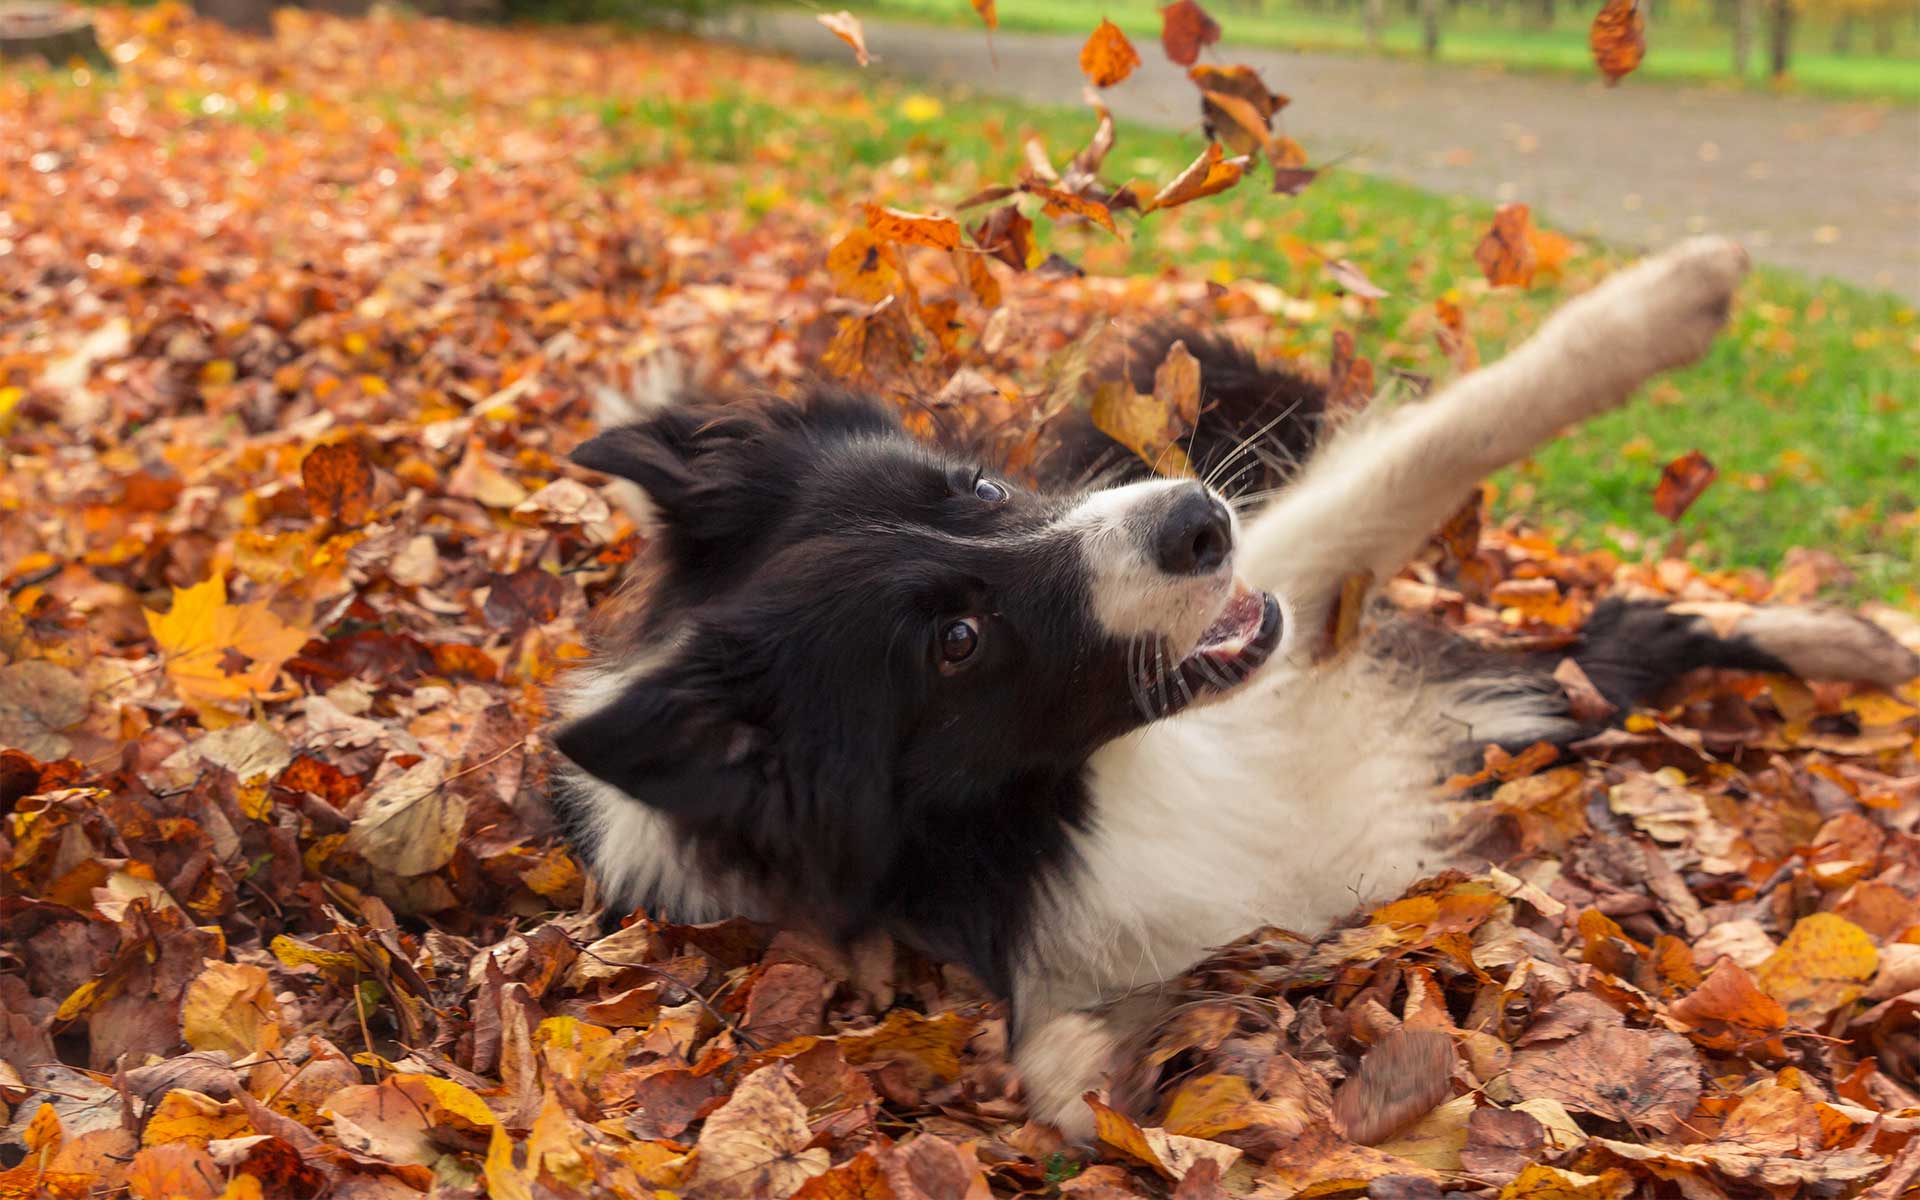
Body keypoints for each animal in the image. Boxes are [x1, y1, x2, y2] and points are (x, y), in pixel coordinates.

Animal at [549, 240, 1912, 1128]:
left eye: (974, 488)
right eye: (957, 642)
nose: (1200, 523)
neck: (1103, 790)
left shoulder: (1301, 585)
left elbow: (1441, 440)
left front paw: (1671, 298)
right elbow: (1070, 1075)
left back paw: (1861, 641)